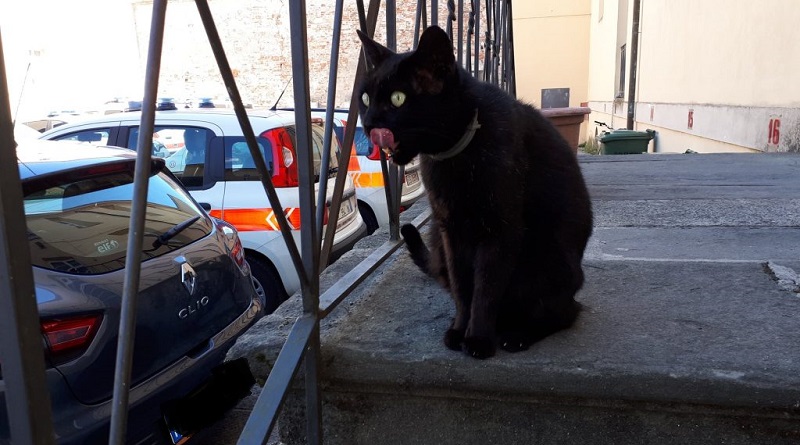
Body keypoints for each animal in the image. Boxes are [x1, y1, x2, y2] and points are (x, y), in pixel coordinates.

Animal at [358, 26, 592, 358]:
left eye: (398, 99)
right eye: (365, 98)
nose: (367, 123)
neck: (455, 158)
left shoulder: (501, 229)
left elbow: (486, 287)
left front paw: (479, 338)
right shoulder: (451, 231)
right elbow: (462, 286)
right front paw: (459, 329)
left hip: (548, 259)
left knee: (565, 311)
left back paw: (517, 334)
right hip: (438, 238)